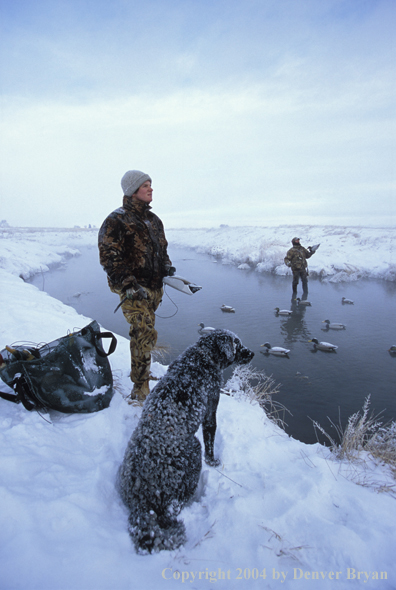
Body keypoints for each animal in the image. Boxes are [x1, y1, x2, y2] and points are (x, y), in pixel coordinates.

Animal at [117, 330, 254, 556]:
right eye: (237, 344)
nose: (252, 353)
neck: (201, 358)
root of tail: (141, 503)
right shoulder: (210, 409)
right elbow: (210, 438)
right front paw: (213, 461)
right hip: (193, 453)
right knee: (175, 506)